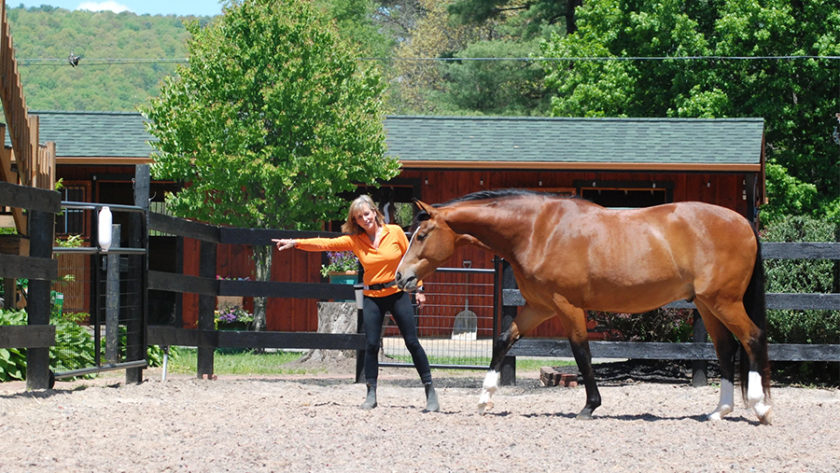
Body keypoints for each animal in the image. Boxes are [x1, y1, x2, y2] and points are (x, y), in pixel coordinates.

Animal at [398, 189, 772, 424]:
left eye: (421, 235)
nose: (401, 277)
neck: (537, 231)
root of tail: (744, 223)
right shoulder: (539, 306)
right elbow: (503, 341)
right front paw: (484, 399)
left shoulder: (567, 306)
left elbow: (581, 352)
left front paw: (590, 406)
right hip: (708, 305)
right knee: (726, 349)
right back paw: (719, 411)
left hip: (724, 302)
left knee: (752, 338)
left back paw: (760, 408)